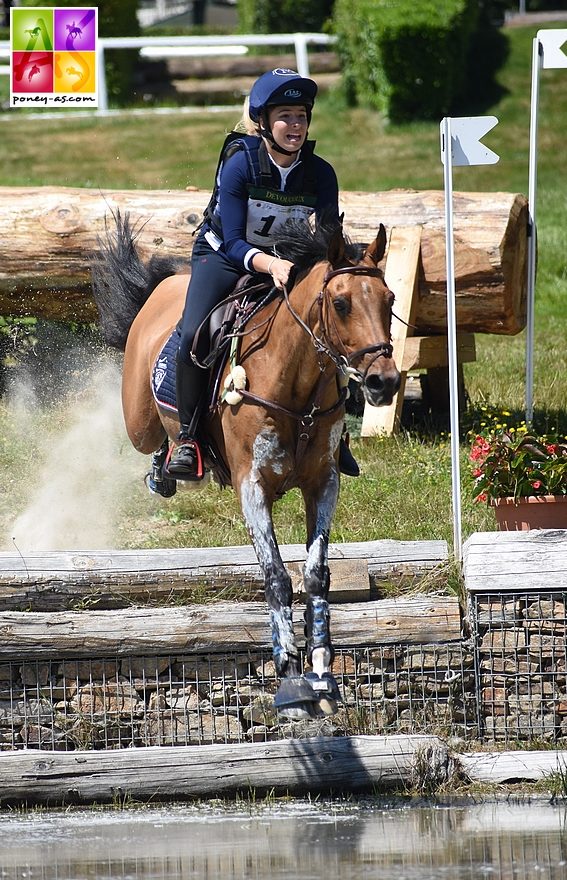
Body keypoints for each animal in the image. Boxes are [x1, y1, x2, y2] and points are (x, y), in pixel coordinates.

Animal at [91, 210, 402, 720]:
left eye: (390, 299)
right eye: (340, 304)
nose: (384, 382)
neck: (297, 389)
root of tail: (166, 284)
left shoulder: (323, 483)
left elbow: (315, 574)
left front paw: (322, 673)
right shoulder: (252, 484)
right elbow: (276, 576)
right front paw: (291, 678)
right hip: (138, 417)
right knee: (149, 434)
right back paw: (170, 461)